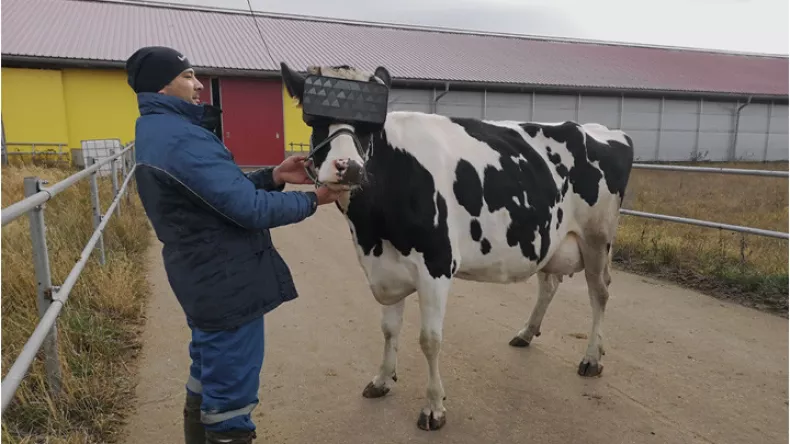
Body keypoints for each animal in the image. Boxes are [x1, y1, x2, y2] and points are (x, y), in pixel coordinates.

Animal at [280, 61, 636, 430]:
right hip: (549, 237)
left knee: (599, 292)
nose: (348, 167)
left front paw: (434, 407)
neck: (371, 232)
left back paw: (592, 358)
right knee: (549, 283)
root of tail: (603, 130)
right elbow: (389, 329)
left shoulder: (436, 265)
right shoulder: (385, 268)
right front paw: (382, 380)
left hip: (597, 237)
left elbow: (430, 340)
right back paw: (526, 333)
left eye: (370, 128)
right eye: (314, 122)